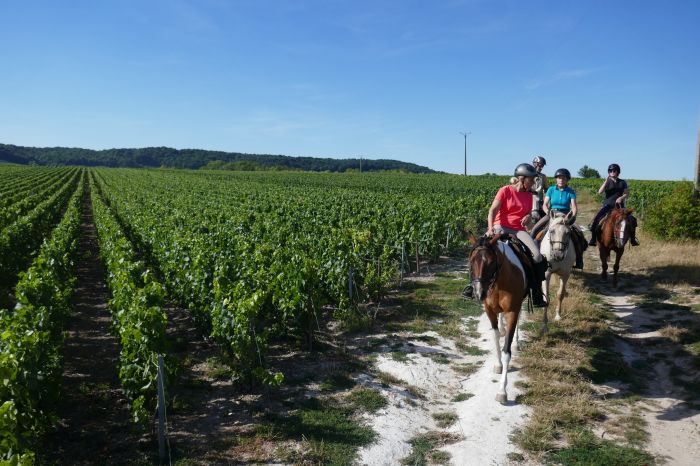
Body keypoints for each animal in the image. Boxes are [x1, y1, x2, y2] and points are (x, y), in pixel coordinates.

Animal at [468, 233, 540, 404]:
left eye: (490, 262)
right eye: (472, 261)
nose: (479, 293)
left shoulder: (512, 311)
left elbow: (507, 350)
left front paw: (502, 392)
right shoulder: (489, 311)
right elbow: (495, 338)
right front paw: (498, 364)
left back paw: (516, 342)